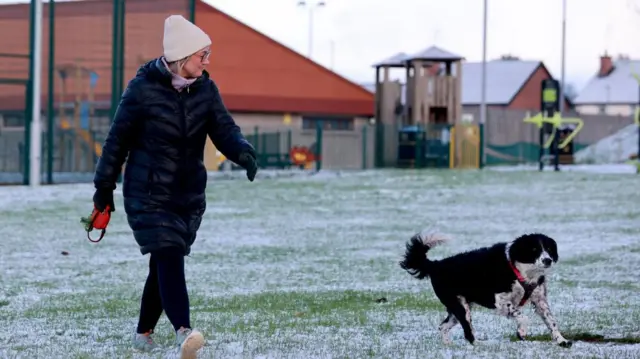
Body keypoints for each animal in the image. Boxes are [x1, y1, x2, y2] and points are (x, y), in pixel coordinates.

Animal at [400, 231, 568, 348]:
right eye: (534, 249)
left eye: (548, 248)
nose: (548, 260)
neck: (521, 270)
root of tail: (435, 265)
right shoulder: (500, 301)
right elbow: (523, 317)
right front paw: (521, 332)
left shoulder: (540, 301)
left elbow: (552, 322)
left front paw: (562, 341)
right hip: (461, 308)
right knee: (468, 334)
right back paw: (481, 344)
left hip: (458, 308)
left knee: (443, 326)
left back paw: (448, 344)